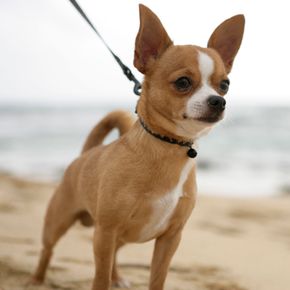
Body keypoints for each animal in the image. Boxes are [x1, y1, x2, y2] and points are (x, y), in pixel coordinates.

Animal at [31, 4, 245, 290]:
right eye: (183, 82)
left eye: (224, 85)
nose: (218, 101)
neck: (169, 148)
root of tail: (86, 153)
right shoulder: (106, 231)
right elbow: (99, 277)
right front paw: (104, 281)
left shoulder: (170, 238)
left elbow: (157, 277)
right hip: (60, 222)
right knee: (48, 249)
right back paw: (36, 279)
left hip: (120, 237)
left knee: (114, 256)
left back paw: (118, 278)